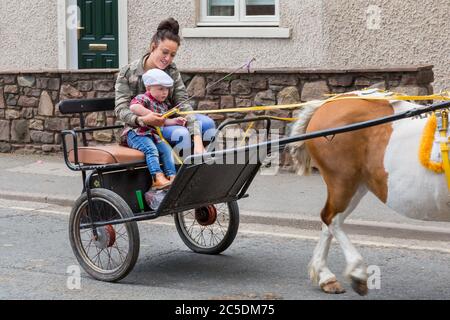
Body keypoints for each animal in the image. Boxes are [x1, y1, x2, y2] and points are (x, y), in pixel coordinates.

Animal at [288, 89, 450, 296]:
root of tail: (329, 103)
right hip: (343, 181)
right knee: (331, 219)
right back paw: (355, 272)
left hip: (357, 186)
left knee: (329, 222)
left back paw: (326, 277)